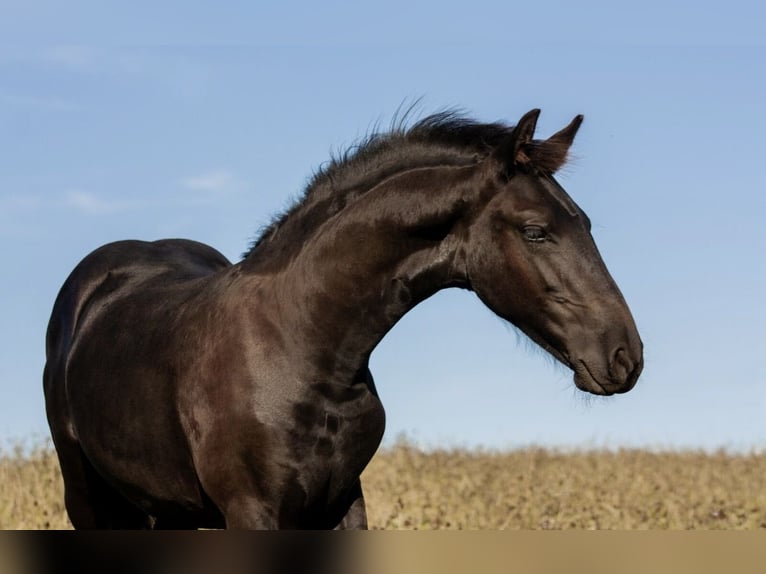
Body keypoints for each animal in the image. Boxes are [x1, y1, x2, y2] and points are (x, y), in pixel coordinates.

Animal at [44, 109, 643, 529]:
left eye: (586, 222)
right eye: (535, 231)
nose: (625, 356)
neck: (301, 346)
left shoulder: (341, 503)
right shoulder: (252, 511)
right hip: (90, 500)